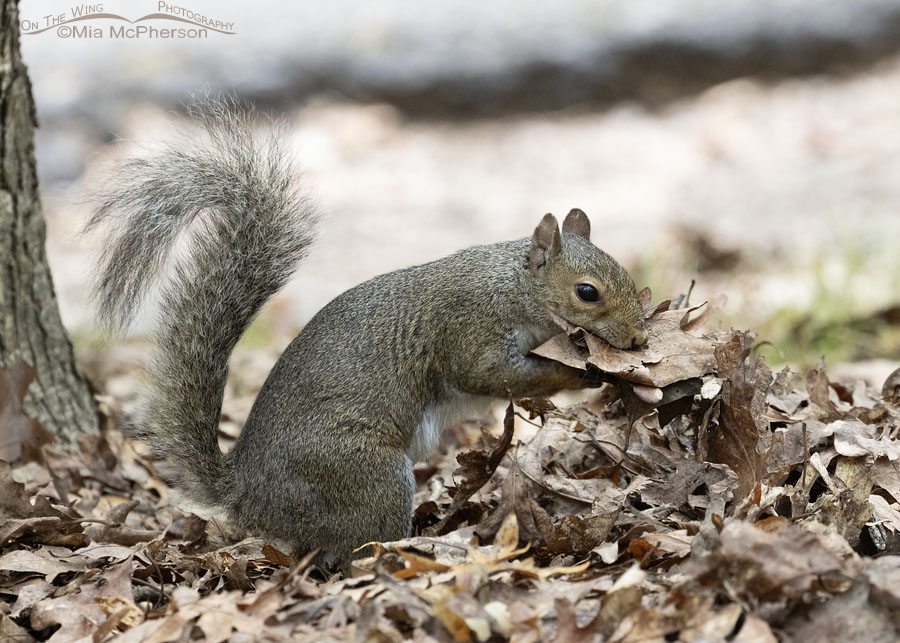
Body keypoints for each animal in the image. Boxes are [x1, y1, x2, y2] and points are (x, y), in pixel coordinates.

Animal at [86, 95, 648, 568]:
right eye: (587, 292)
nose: (637, 340)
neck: (512, 286)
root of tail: (246, 494)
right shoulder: (469, 328)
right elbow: (492, 374)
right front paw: (580, 375)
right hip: (365, 476)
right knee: (361, 547)